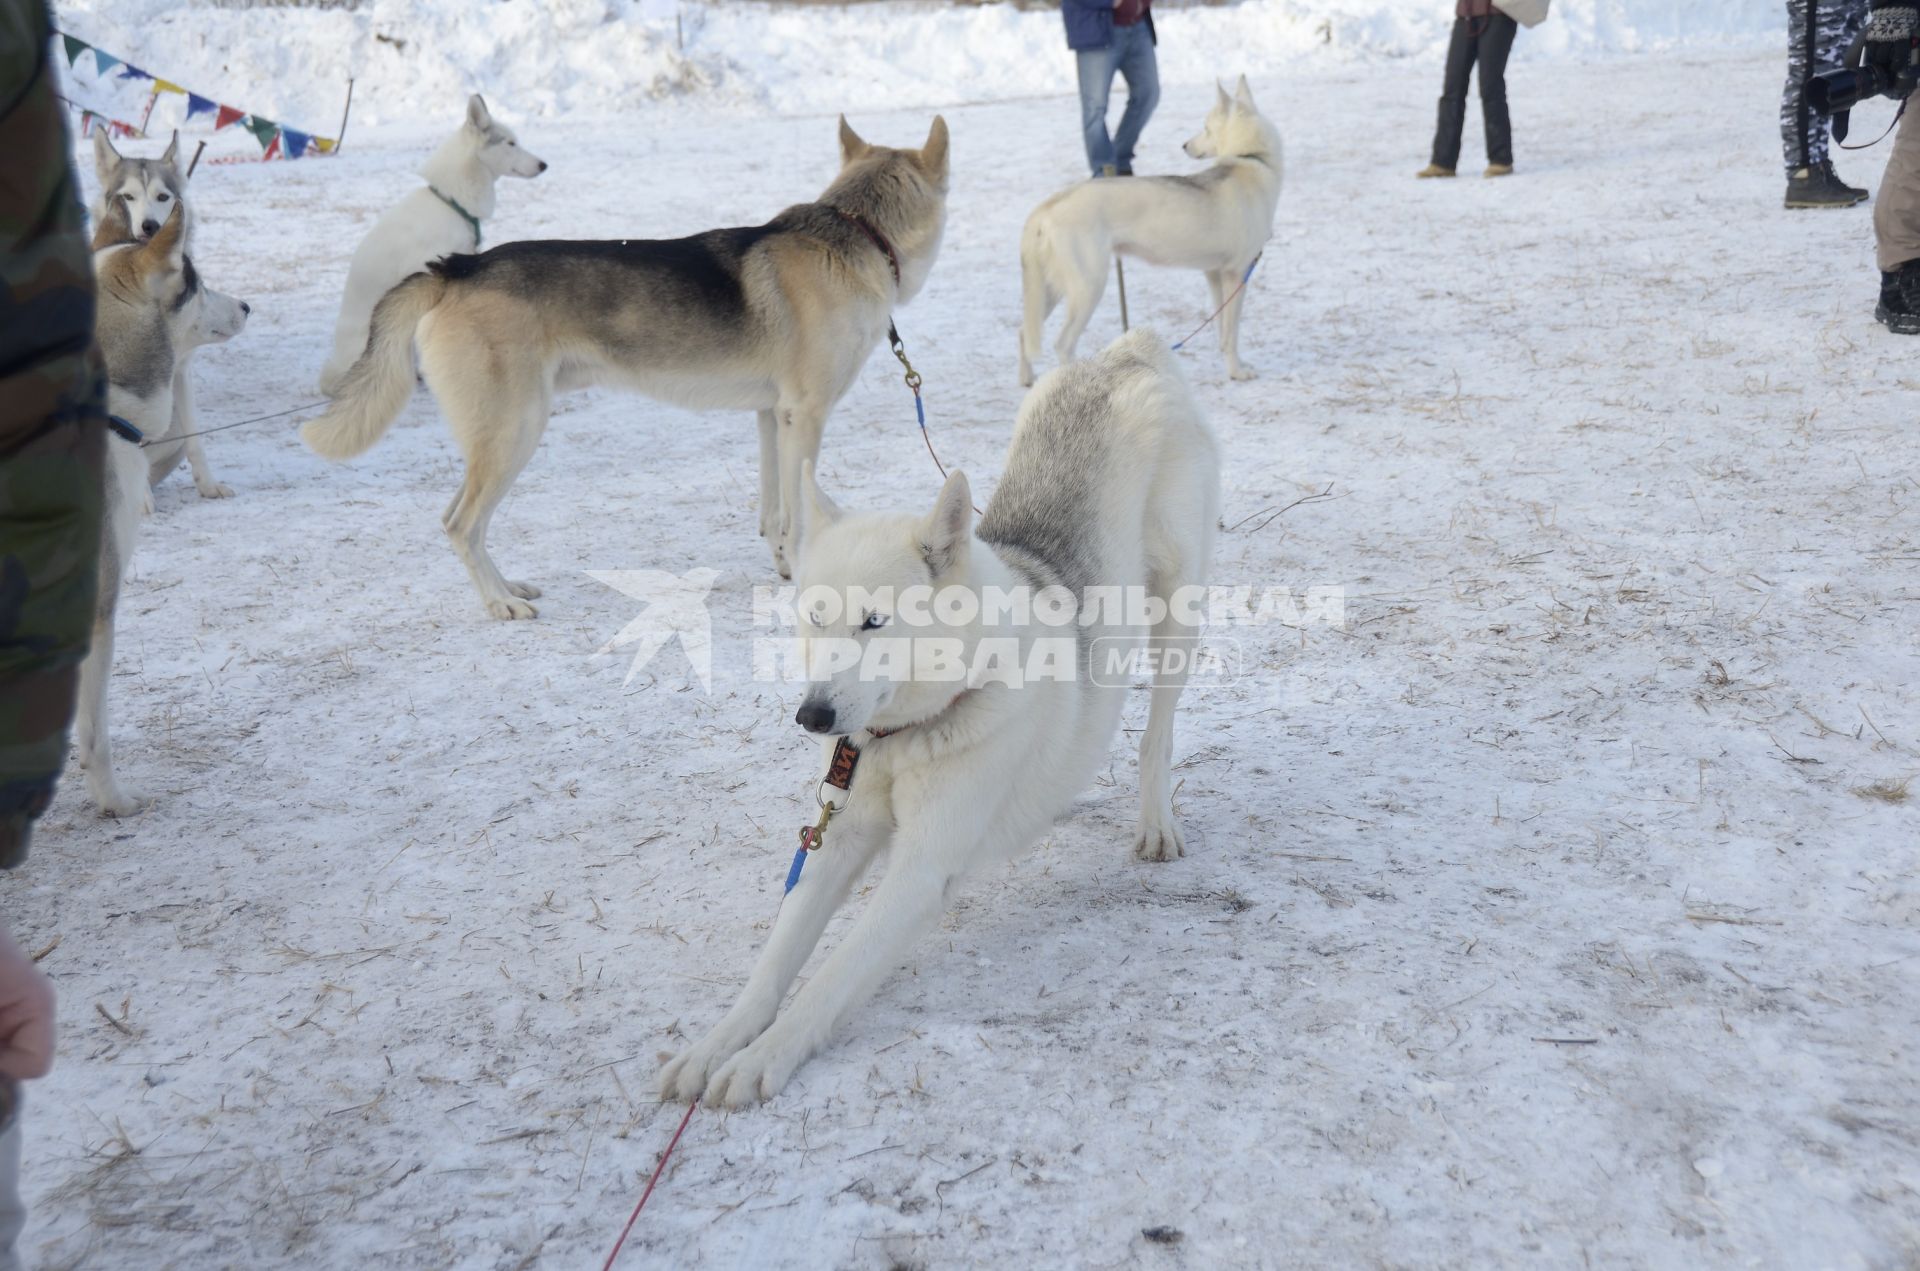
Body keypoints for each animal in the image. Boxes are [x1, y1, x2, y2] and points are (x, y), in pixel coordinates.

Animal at [668, 328, 1221, 1105]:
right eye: (816, 617)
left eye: (874, 622)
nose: (812, 716)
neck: (904, 738)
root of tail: (1126, 352)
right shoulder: (837, 837)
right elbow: (775, 964)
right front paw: (717, 1043)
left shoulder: (919, 871)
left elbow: (826, 981)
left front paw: (761, 1058)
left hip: (1177, 611)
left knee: (1157, 733)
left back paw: (1156, 822)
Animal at [1013, 73, 1282, 383]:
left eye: (1205, 128)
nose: (1185, 145)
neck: (1251, 158)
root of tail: (1048, 206)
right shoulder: (1236, 274)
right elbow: (1232, 333)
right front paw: (1237, 372)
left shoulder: (1215, 275)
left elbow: (1222, 330)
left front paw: (1231, 363)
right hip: (1089, 287)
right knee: (1063, 344)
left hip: (1051, 289)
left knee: (1024, 332)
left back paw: (1027, 380)